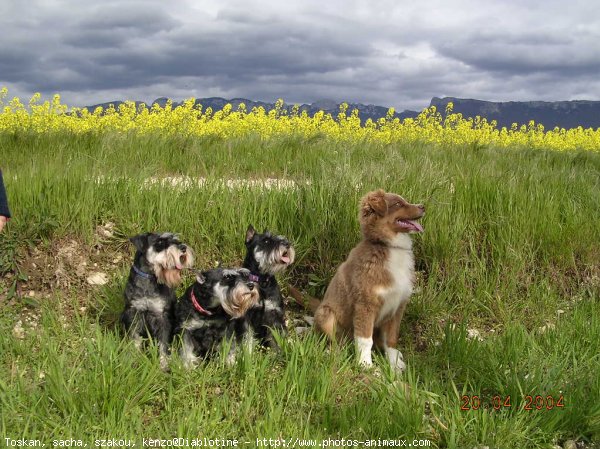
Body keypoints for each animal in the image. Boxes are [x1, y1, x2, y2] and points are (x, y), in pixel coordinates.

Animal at [290, 189, 422, 372]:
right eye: (397, 204)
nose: (423, 206)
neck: (388, 247)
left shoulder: (397, 306)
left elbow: (391, 339)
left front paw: (394, 364)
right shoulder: (365, 305)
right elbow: (365, 339)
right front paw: (365, 364)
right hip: (327, 314)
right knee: (332, 340)